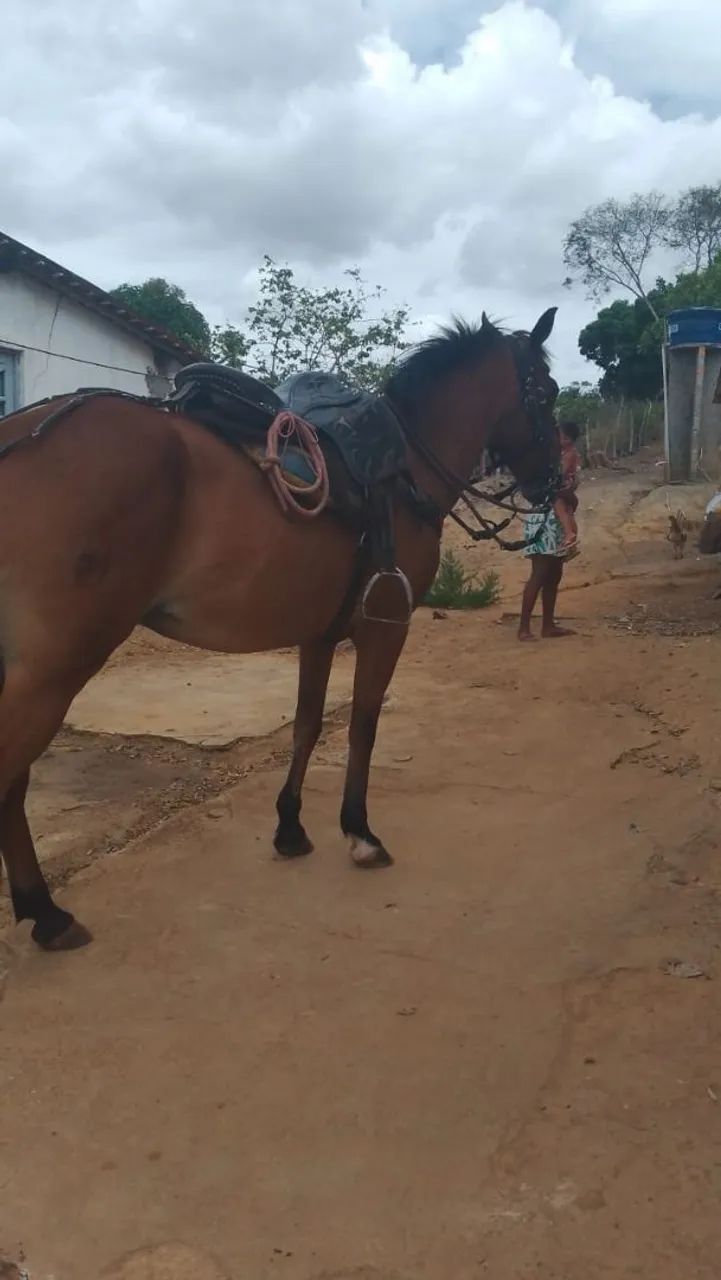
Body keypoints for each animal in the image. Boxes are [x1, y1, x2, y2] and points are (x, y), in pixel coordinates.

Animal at [0, 307, 559, 952]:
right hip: (52, 670)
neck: (403, 471)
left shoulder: (320, 634)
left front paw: (289, 827)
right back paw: (46, 911)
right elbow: (363, 726)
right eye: (547, 393)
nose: (553, 482)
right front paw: (359, 833)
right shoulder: (385, 627)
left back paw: (43, 911)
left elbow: (307, 726)